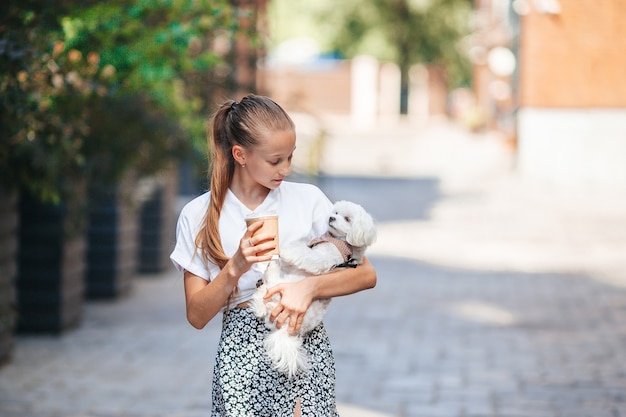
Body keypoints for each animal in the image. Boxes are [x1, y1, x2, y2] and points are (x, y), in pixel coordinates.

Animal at [249, 200, 376, 378]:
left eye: (347, 219)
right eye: (335, 212)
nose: (331, 218)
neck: (339, 241)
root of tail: (285, 330)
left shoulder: (319, 260)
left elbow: (301, 253)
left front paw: (284, 249)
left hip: (283, 286)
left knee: (271, 283)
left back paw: (270, 270)